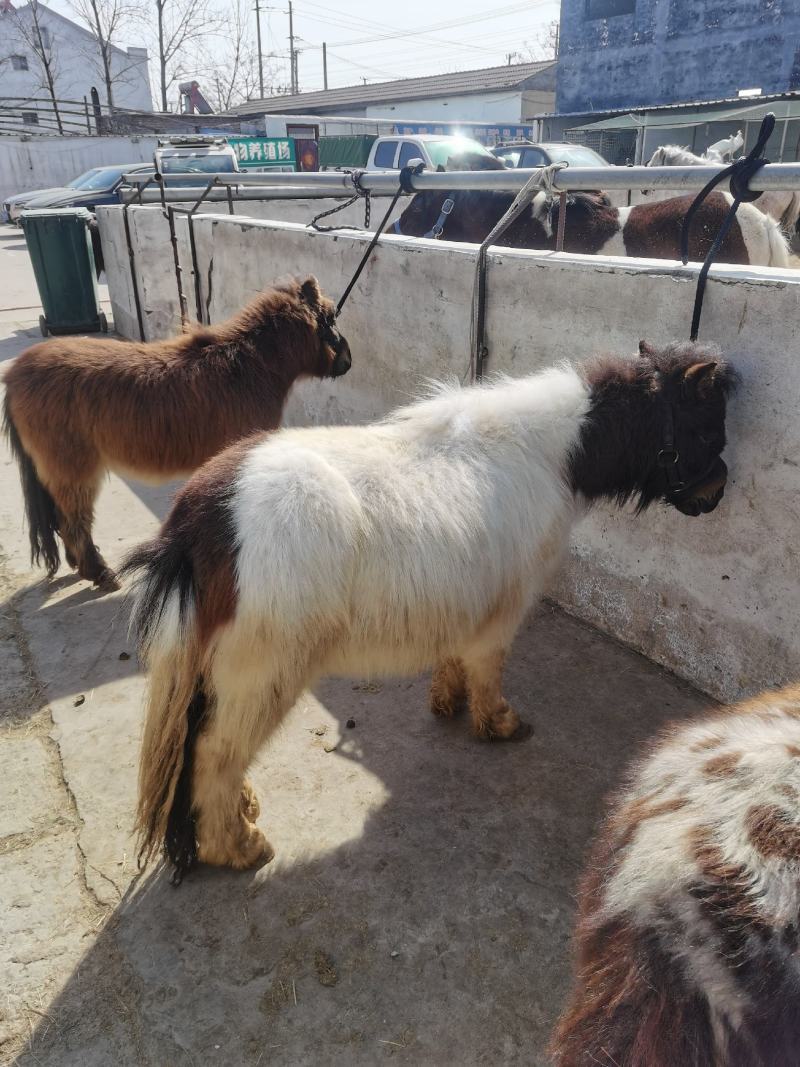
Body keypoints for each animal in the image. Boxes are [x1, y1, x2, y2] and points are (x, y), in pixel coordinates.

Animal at [3, 276, 351, 592]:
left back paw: (79, 564)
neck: (248, 366)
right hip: (73, 470)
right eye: (330, 318)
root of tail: (15, 374)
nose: (348, 361)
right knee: (73, 522)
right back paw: (99, 573)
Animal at [123, 340, 737, 880]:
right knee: (214, 751)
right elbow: (488, 670)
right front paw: (498, 723)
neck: (549, 455)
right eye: (707, 427)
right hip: (261, 671)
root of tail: (201, 517)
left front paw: (448, 700)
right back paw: (238, 846)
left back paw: (240, 809)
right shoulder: (503, 611)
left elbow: (457, 659)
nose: (716, 494)